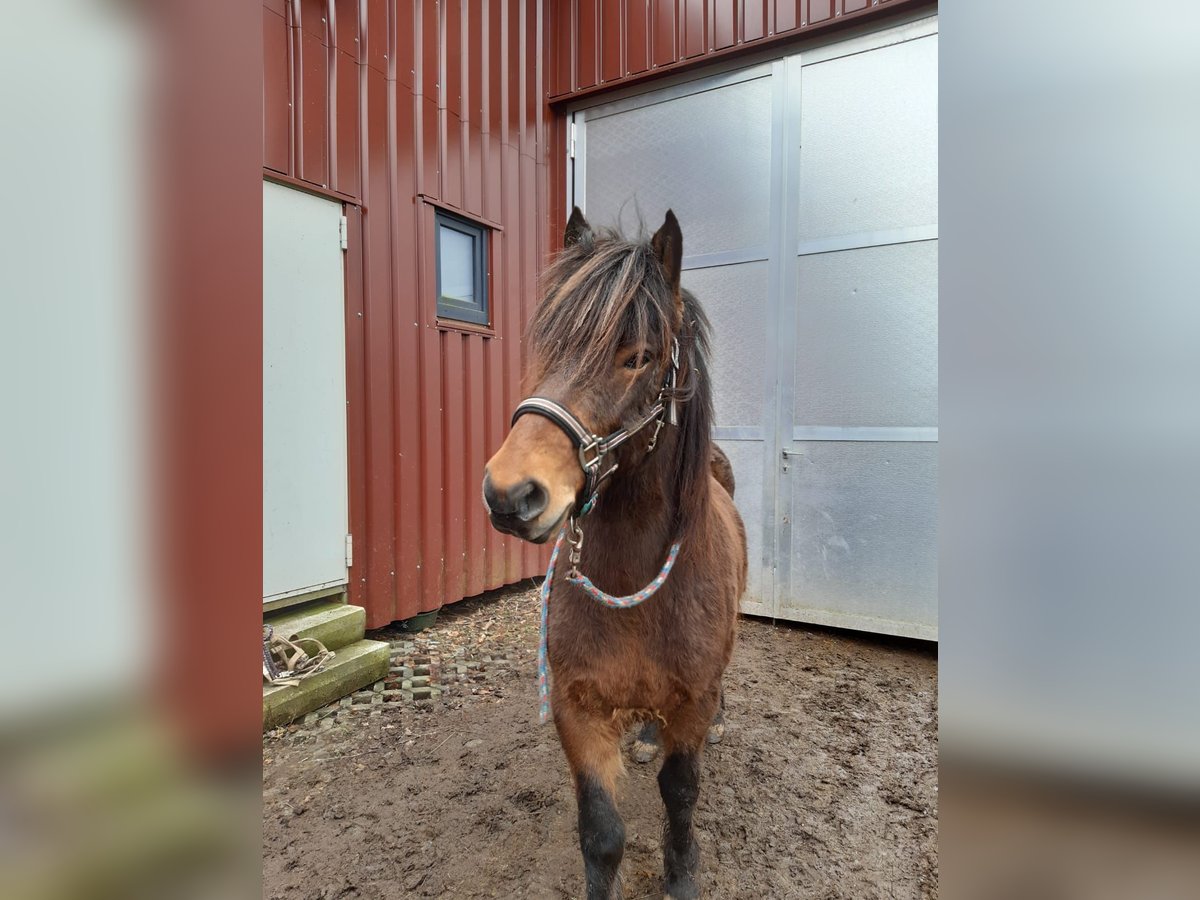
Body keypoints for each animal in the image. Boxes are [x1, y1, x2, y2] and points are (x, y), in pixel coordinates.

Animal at [482, 207, 744, 897]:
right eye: (548, 343)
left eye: (640, 358)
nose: (509, 492)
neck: (636, 588)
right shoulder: (578, 709)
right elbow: (601, 834)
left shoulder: (693, 702)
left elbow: (681, 791)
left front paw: (682, 873)